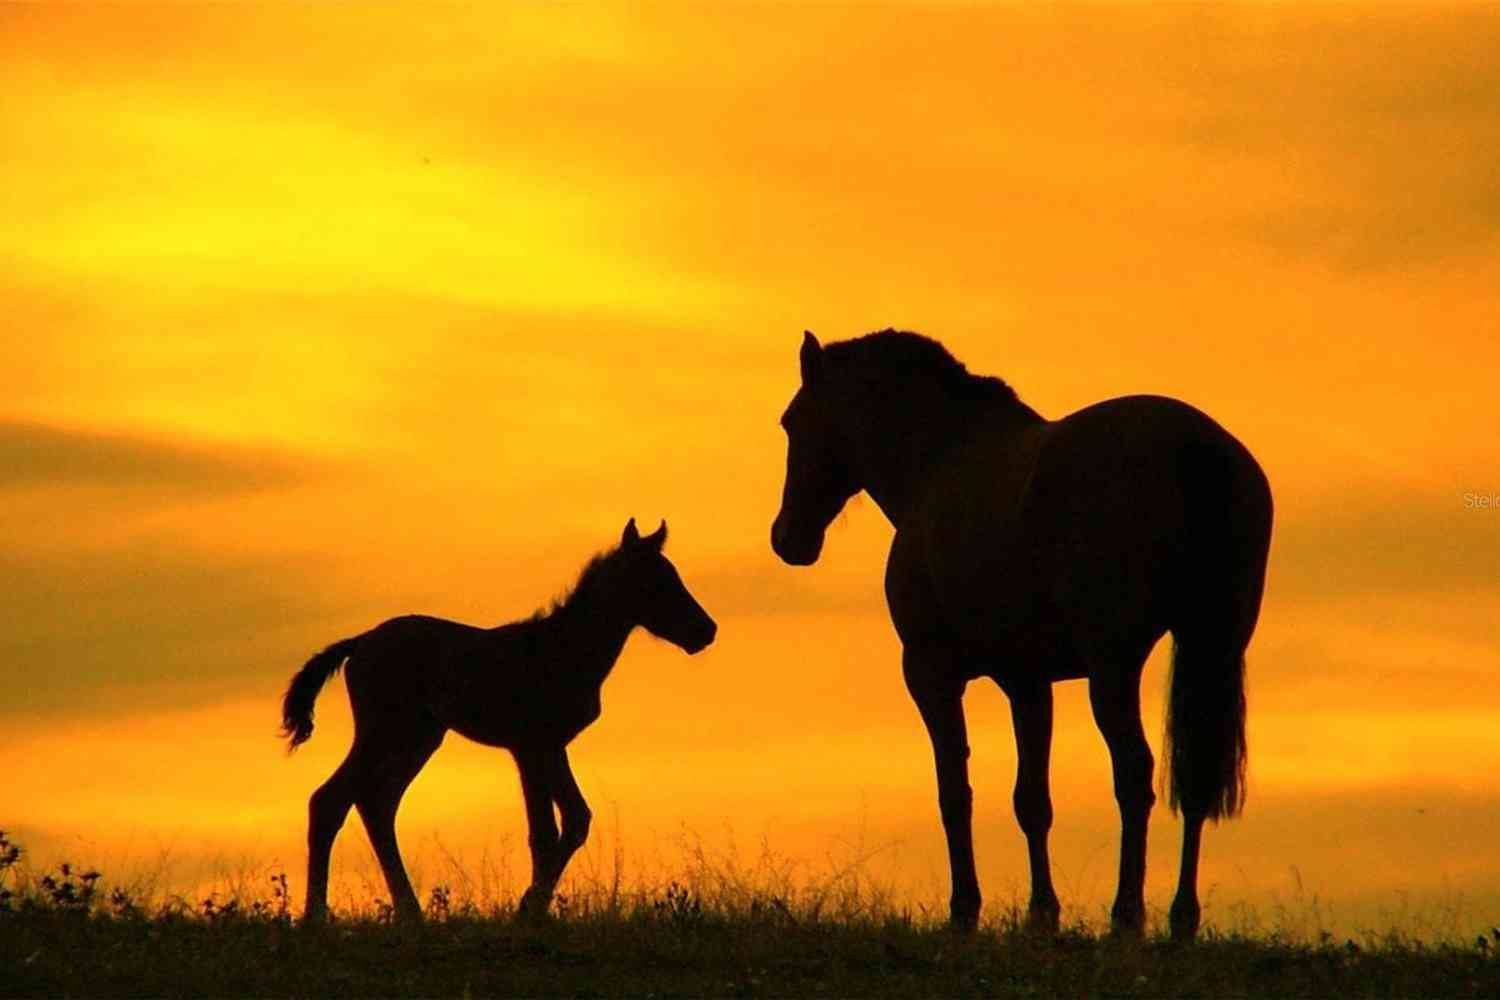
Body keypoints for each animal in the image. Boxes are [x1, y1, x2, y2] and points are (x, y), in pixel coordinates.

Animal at [288, 524, 726, 923]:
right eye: (657, 582)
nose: (706, 630)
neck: (565, 649)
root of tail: (359, 643)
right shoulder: (533, 745)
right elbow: (549, 831)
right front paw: (528, 910)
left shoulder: (545, 747)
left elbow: (571, 821)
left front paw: (532, 908)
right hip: (382, 732)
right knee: (330, 800)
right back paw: (316, 916)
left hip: (418, 739)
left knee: (376, 804)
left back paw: (409, 913)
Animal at [768, 332, 1272, 941]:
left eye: (792, 421)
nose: (787, 538)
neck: (937, 463)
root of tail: (1197, 448)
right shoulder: (1028, 682)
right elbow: (1032, 800)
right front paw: (1041, 914)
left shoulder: (930, 672)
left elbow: (954, 790)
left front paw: (965, 909)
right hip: (1211, 646)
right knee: (1194, 777)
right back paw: (1181, 919)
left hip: (1115, 665)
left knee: (1134, 773)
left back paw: (1127, 916)